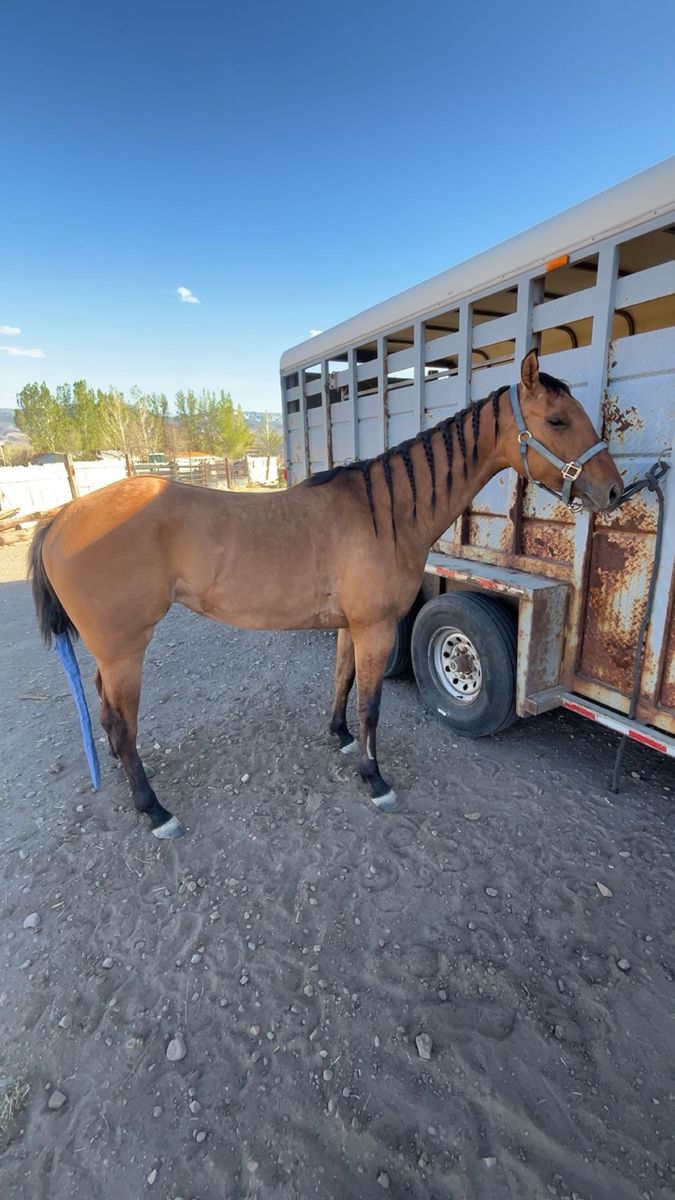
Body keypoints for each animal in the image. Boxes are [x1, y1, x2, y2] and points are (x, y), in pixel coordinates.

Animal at [29, 350, 622, 838]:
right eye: (557, 420)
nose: (614, 490)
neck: (385, 513)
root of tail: (61, 517)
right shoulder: (375, 628)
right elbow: (371, 705)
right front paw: (374, 777)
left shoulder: (349, 626)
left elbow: (342, 682)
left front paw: (339, 737)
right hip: (125, 649)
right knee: (121, 721)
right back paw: (153, 809)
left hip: (111, 650)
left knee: (108, 715)